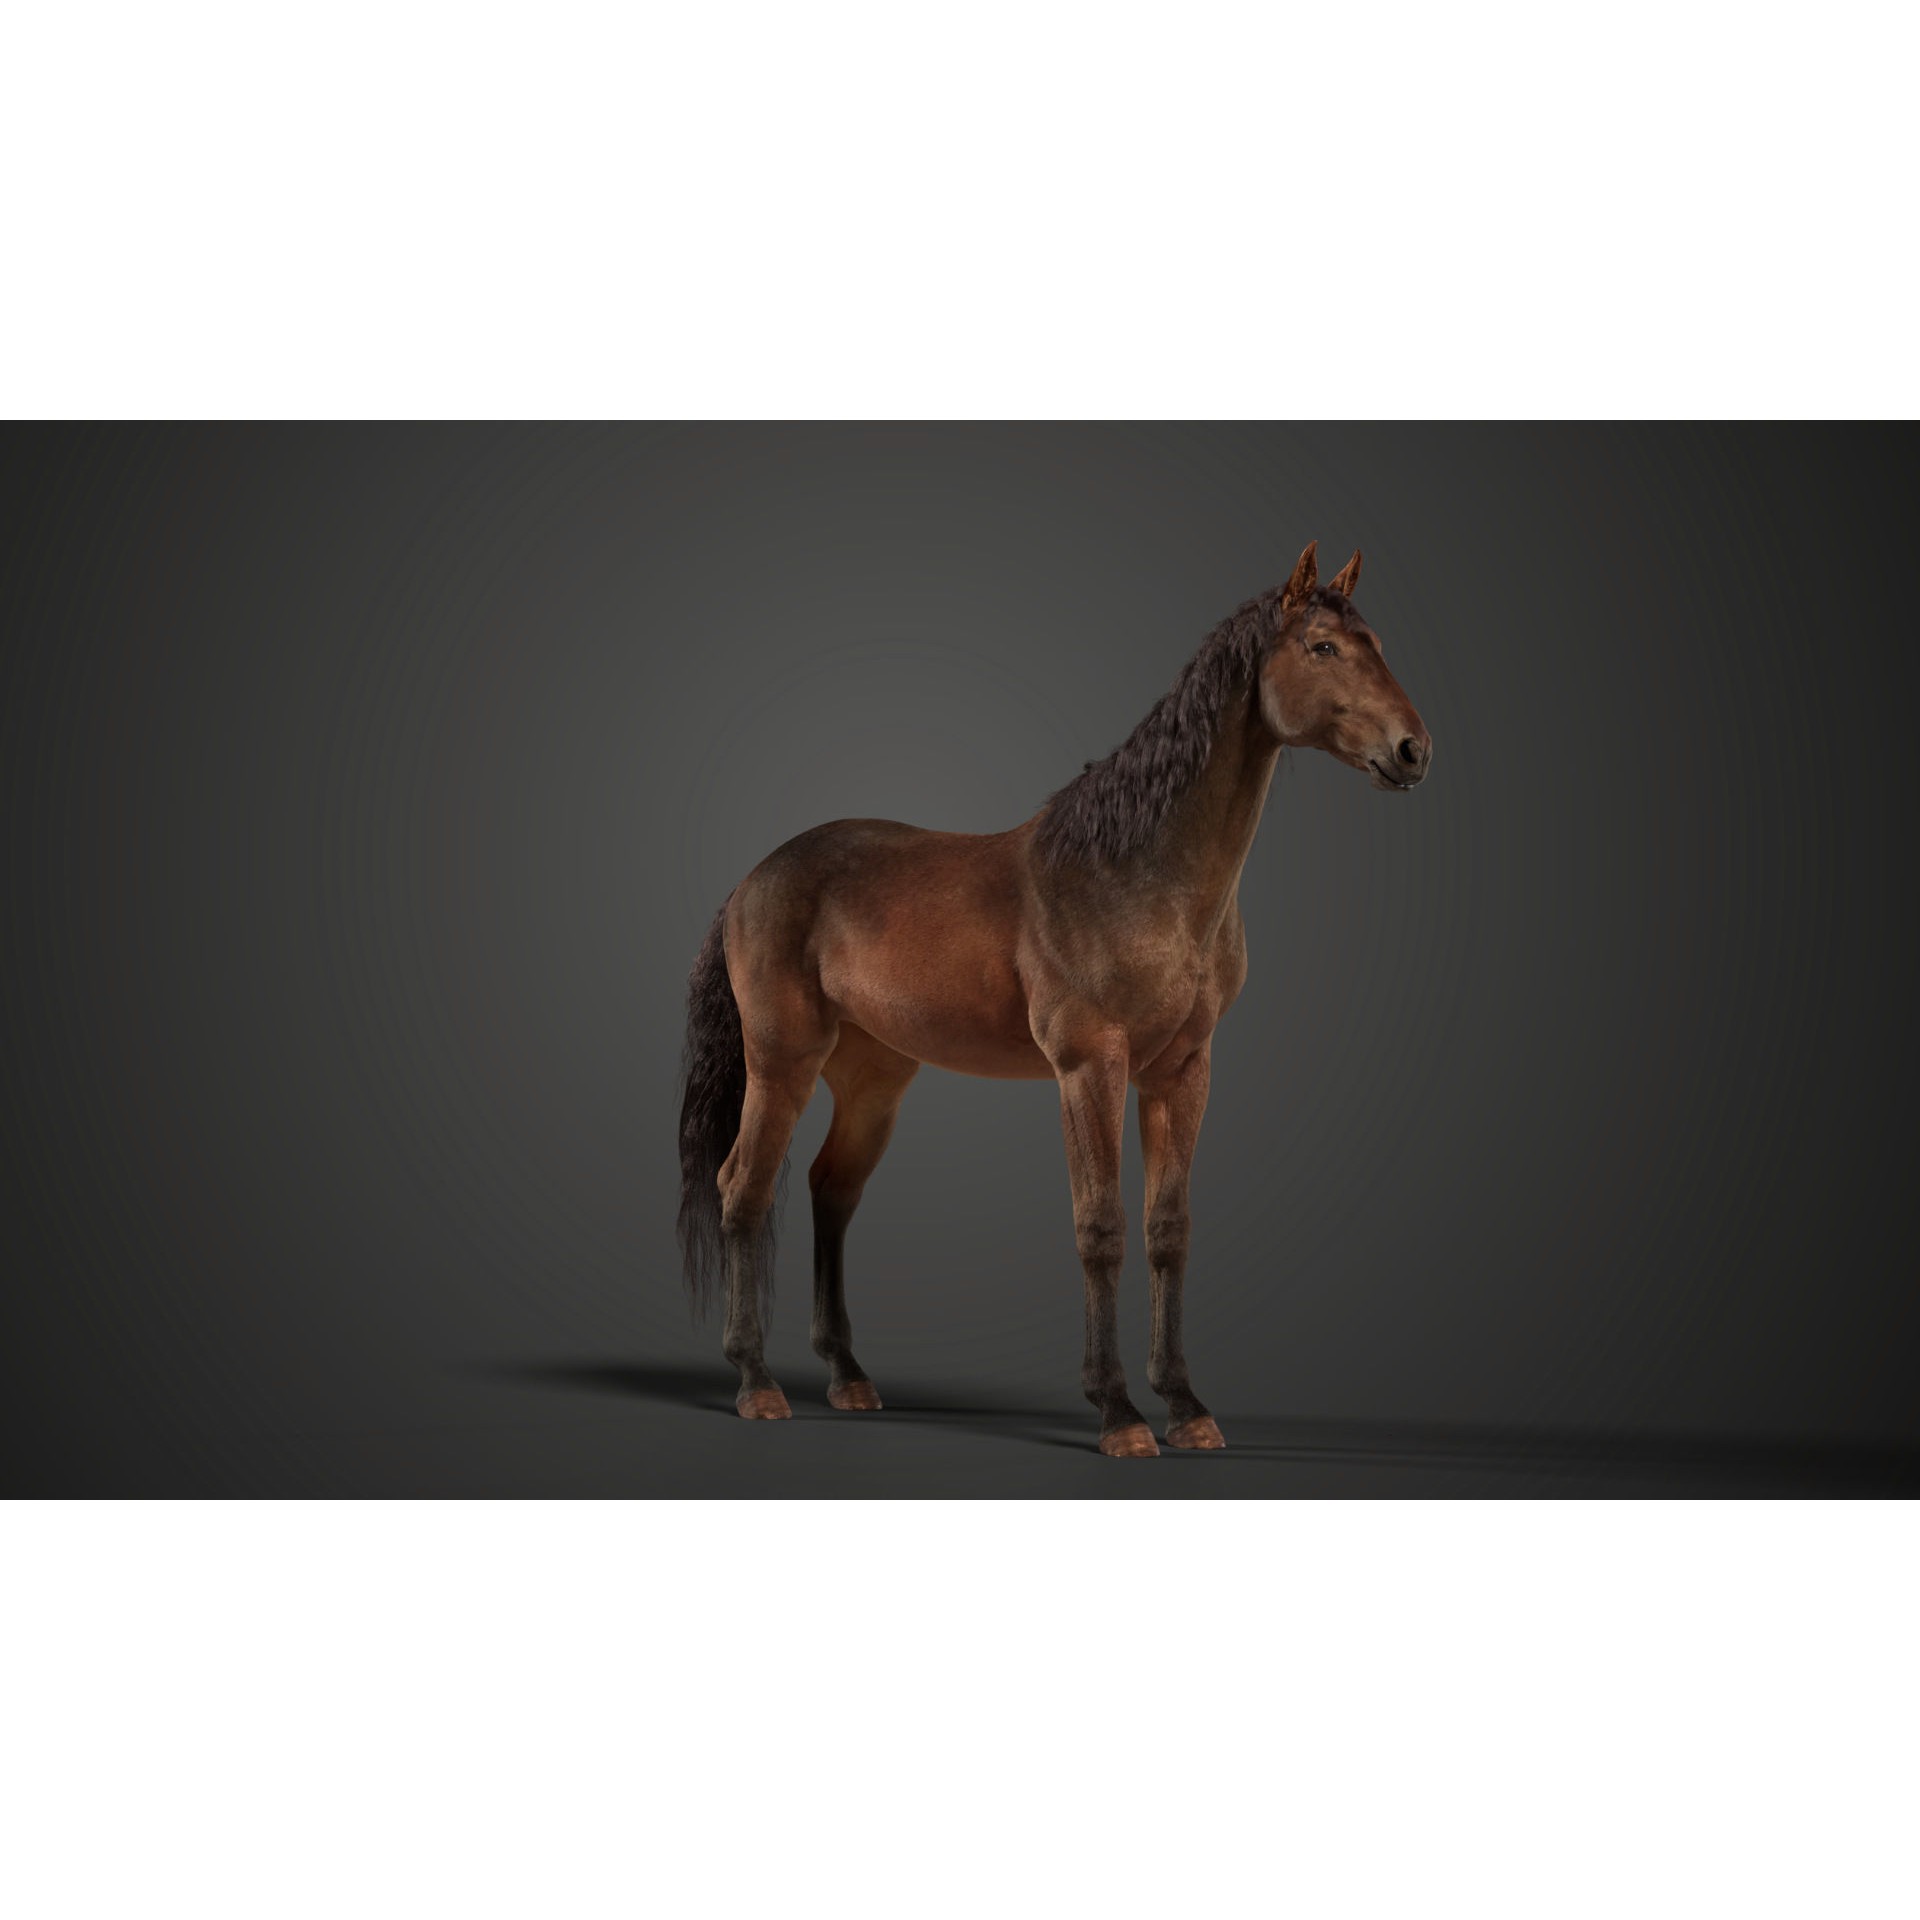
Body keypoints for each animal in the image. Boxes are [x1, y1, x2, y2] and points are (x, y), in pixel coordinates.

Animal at [675, 540, 1433, 1457]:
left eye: (1376, 644)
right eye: (1322, 647)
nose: (1413, 749)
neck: (1139, 872)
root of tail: (753, 880)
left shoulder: (1183, 1071)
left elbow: (1168, 1230)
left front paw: (1186, 1406)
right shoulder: (1088, 1065)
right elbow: (1100, 1228)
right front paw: (1119, 1414)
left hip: (874, 1079)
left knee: (832, 1188)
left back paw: (849, 1376)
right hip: (780, 1061)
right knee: (742, 1188)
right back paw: (756, 1384)